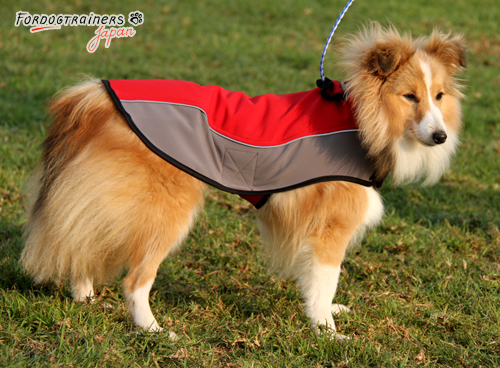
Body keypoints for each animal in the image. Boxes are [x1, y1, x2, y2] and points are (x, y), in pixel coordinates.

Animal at [19, 23, 464, 340]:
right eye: (409, 96)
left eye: (439, 96)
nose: (441, 136)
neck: (359, 120)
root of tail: (93, 96)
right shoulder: (329, 229)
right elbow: (326, 279)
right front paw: (327, 331)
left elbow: (317, 282)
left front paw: (327, 315)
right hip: (168, 210)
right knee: (134, 280)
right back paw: (155, 330)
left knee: (81, 241)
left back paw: (85, 297)